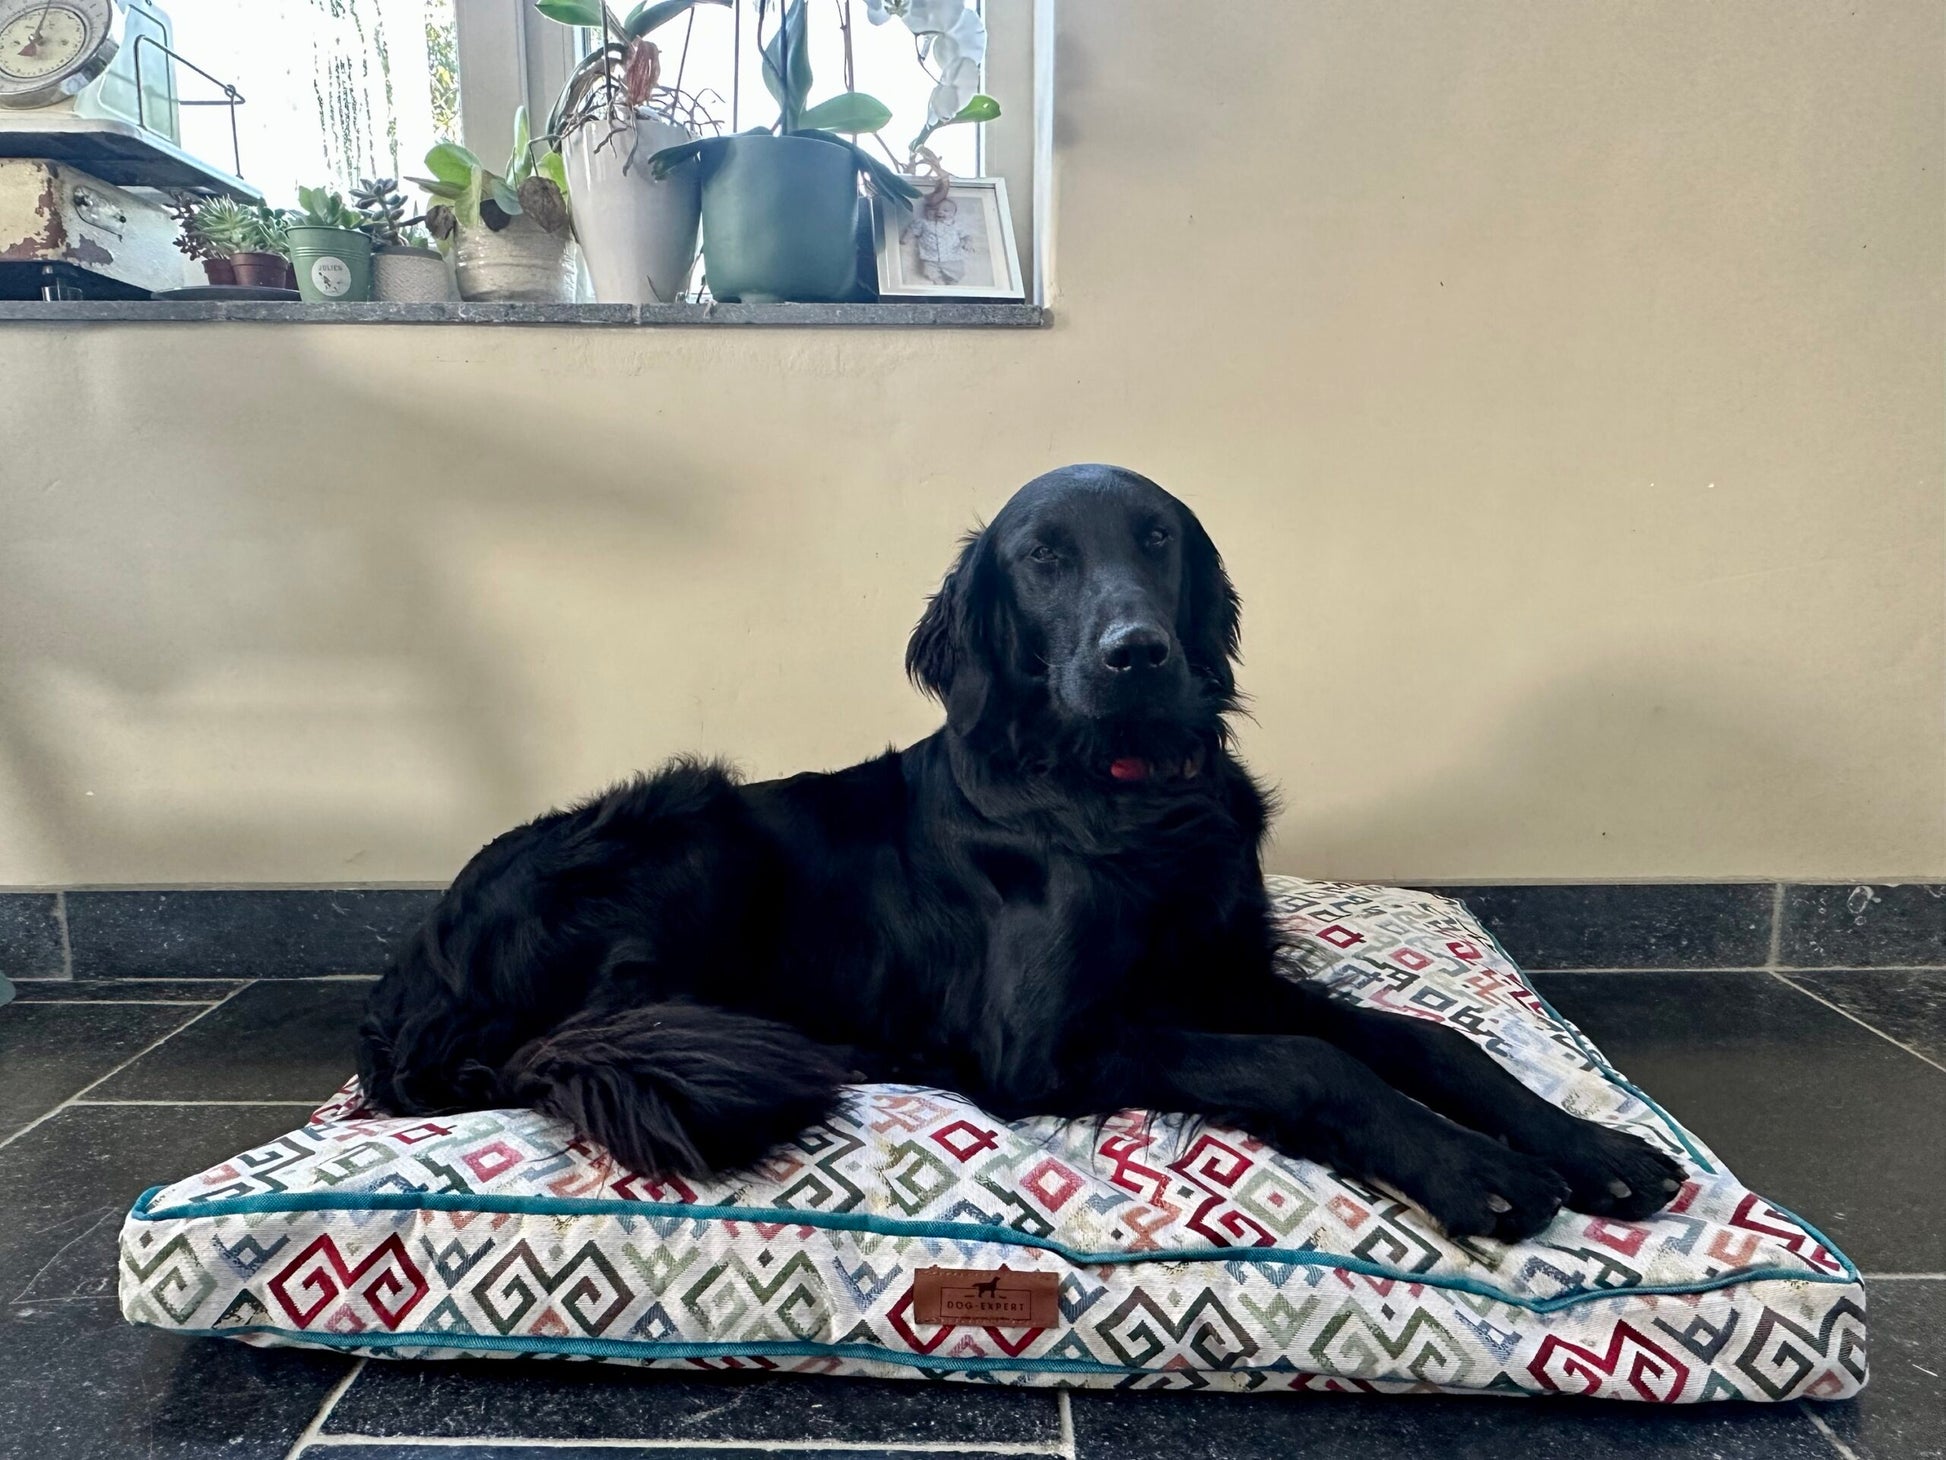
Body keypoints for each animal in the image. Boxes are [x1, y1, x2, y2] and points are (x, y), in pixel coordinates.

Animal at [356, 463, 1682, 1242]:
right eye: (1040, 555)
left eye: (1156, 539)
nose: (1135, 651)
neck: (1120, 794)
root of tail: (409, 982)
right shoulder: (1047, 1040)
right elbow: (1312, 1063)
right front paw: (1472, 1169)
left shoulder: (1227, 973)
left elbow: (1424, 1039)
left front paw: (1591, 1145)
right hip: (689, 825)